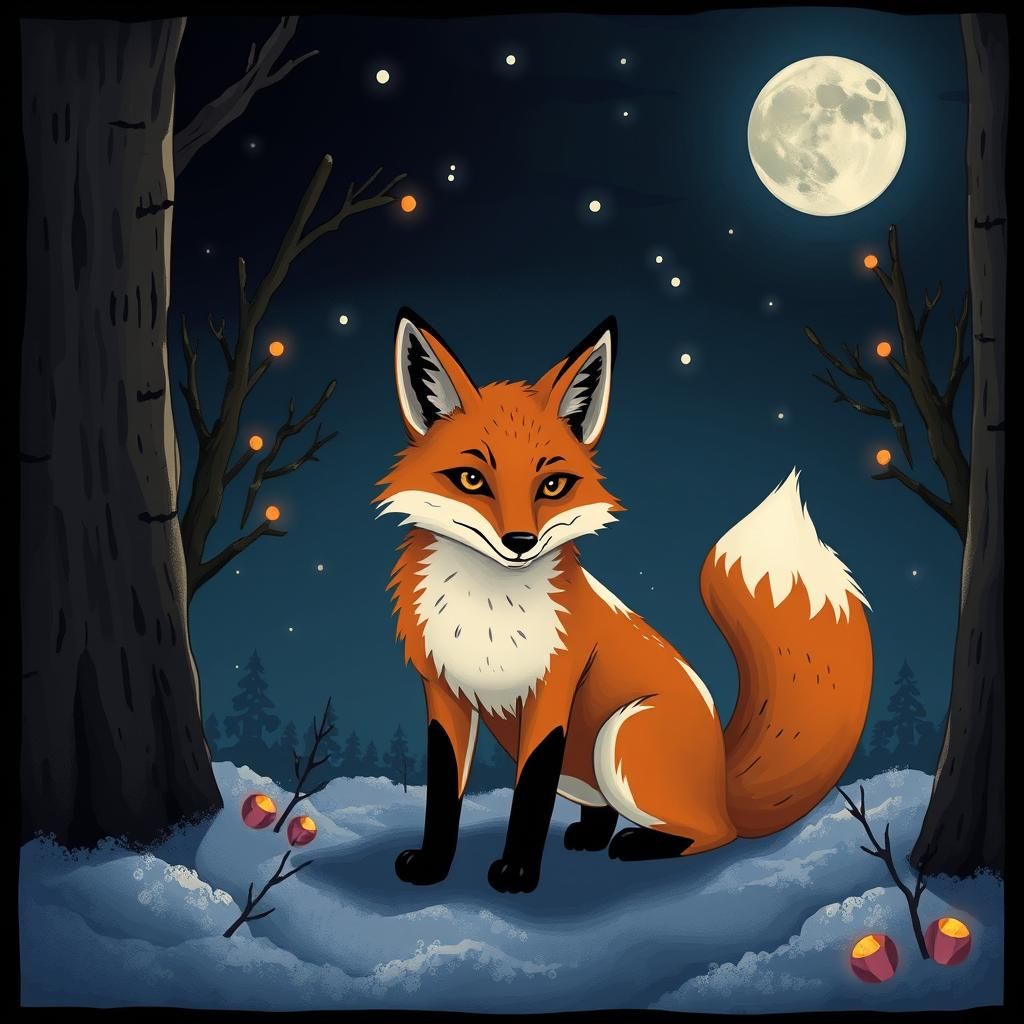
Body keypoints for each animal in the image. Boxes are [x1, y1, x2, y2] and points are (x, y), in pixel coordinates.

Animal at [376, 308, 872, 894]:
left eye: (553, 485)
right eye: (472, 479)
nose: (520, 542)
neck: (487, 614)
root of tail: (723, 783)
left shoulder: (553, 692)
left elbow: (529, 795)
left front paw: (517, 873)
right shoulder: (443, 692)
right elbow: (443, 792)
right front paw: (432, 865)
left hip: (620, 736)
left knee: (714, 835)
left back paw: (639, 844)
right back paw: (592, 835)